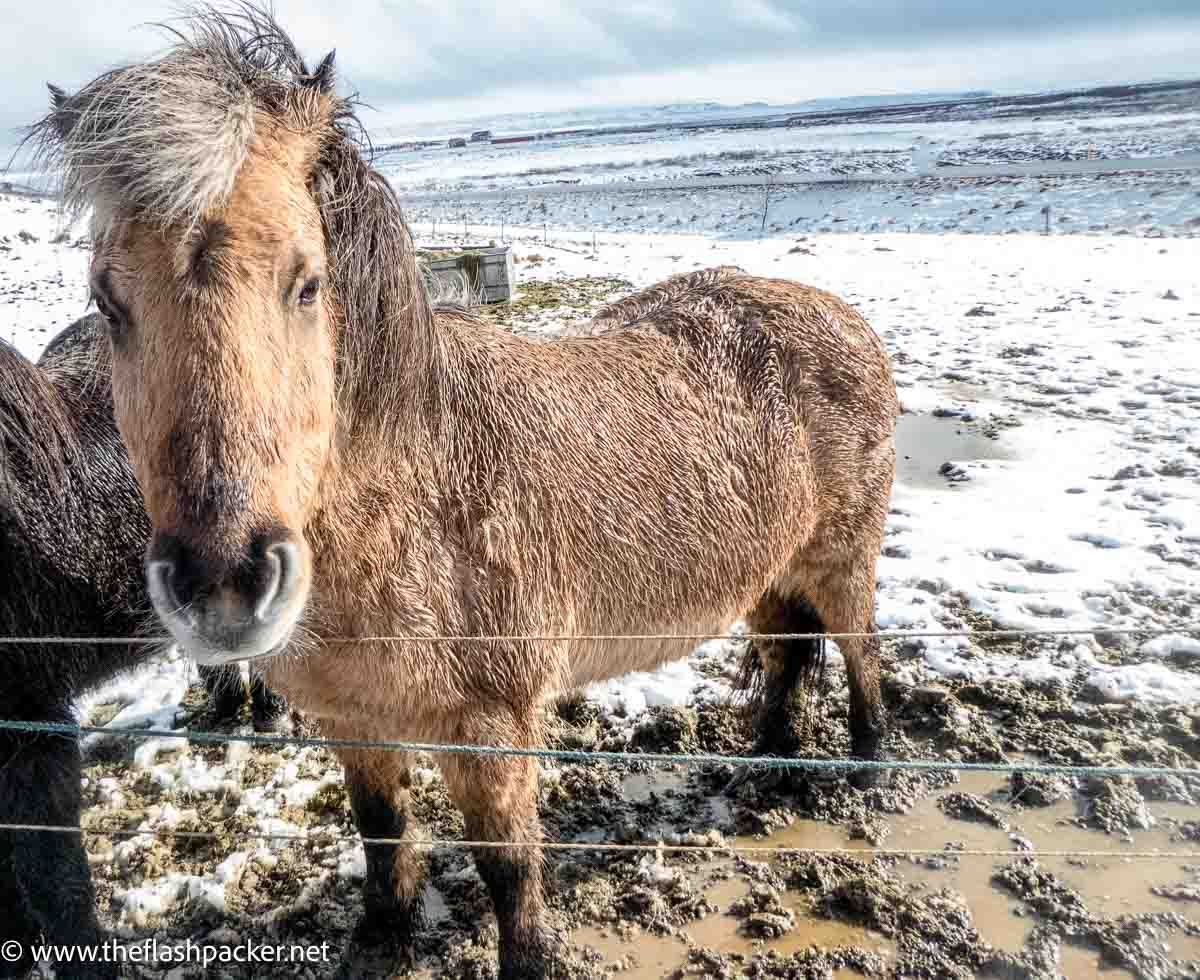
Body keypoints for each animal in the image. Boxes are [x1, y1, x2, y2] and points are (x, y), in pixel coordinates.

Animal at [32, 5, 902, 969]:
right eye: (108, 302)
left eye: (307, 282)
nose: (225, 583)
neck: (409, 503)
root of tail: (839, 314)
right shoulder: (353, 719)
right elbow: (380, 830)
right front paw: (382, 937)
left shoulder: (490, 726)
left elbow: (509, 871)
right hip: (767, 571)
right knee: (785, 659)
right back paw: (770, 769)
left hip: (841, 561)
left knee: (861, 655)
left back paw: (865, 773)